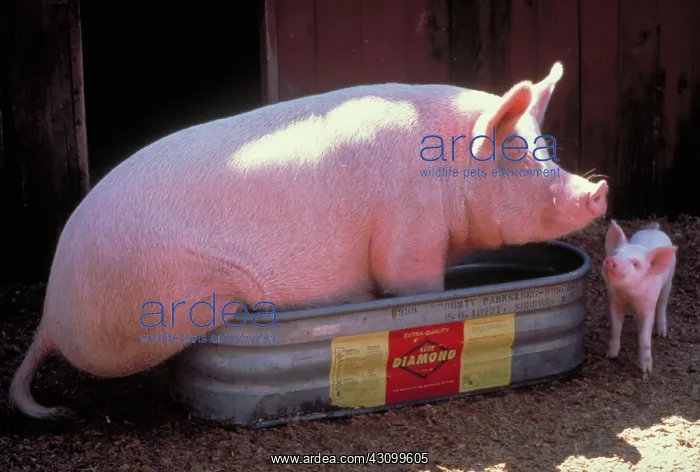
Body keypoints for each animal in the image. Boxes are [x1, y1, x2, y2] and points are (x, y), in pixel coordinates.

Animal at [9, 61, 608, 420]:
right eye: (521, 158)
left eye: (547, 149)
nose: (597, 189)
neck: (444, 168)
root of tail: (51, 313)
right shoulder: (409, 234)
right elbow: (414, 288)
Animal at [602, 220, 677, 374]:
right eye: (616, 253)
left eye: (636, 263)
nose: (611, 260)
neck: (629, 295)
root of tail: (653, 229)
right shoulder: (615, 301)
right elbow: (615, 328)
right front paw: (610, 356)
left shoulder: (649, 305)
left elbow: (645, 338)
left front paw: (646, 371)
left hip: (669, 281)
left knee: (663, 304)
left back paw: (662, 333)